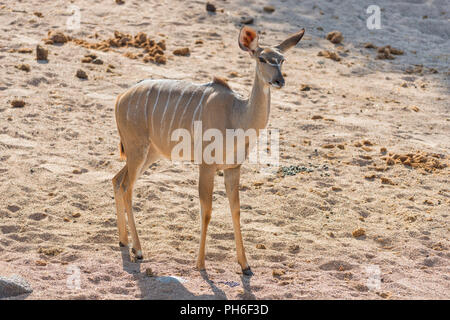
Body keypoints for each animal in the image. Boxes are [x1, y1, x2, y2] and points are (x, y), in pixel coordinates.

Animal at [111, 26, 306, 276]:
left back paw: (124, 241)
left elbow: (236, 210)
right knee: (127, 186)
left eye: (282, 60)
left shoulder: (233, 168)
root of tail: (120, 98)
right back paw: (138, 250)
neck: (237, 115)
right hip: (137, 150)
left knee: (117, 180)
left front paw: (245, 265)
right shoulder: (207, 165)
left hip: (149, 153)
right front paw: (201, 263)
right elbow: (207, 210)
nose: (279, 81)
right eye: (261, 58)